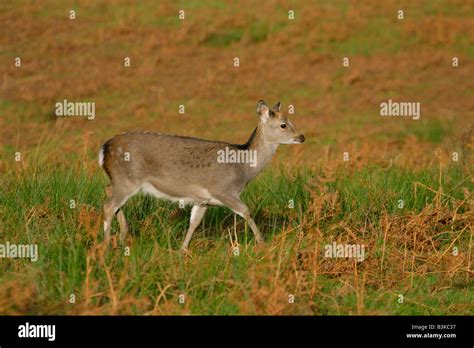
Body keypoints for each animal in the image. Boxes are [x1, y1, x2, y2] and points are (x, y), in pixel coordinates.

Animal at [98, 100, 306, 250]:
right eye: (283, 125)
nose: (302, 137)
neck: (244, 168)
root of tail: (104, 149)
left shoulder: (203, 200)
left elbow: (194, 223)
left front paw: (182, 250)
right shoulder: (223, 189)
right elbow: (246, 210)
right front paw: (262, 243)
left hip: (121, 180)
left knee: (108, 193)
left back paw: (123, 234)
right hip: (127, 179)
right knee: (108, 205)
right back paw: (107, 246)